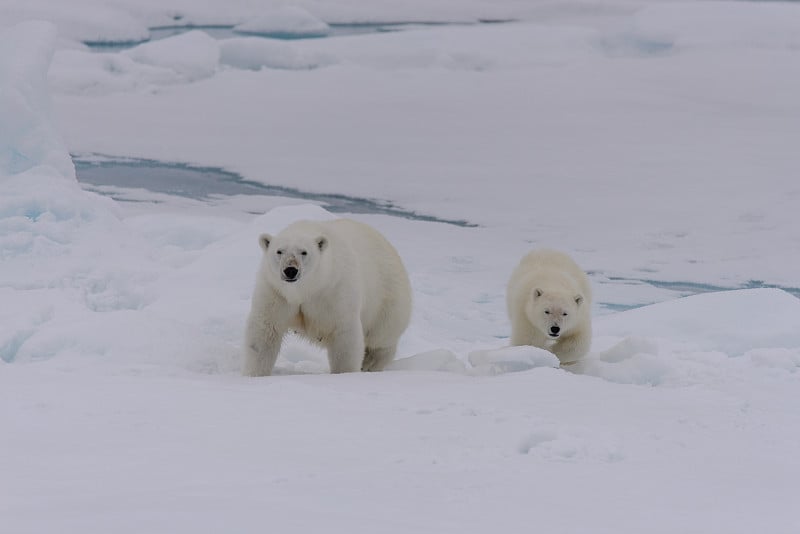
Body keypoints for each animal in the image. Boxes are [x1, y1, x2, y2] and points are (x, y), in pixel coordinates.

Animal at [242, 218, 412, 376]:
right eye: (279, 251)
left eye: (304, 252)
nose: (290, 270)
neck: (305, 290)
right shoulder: (276, 292)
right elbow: (265, 330)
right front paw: (254, 374)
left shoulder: (334, 292)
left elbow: (344, 334)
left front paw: (345, 373)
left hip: (387, 297)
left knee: (382, 337)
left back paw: (370, 363)